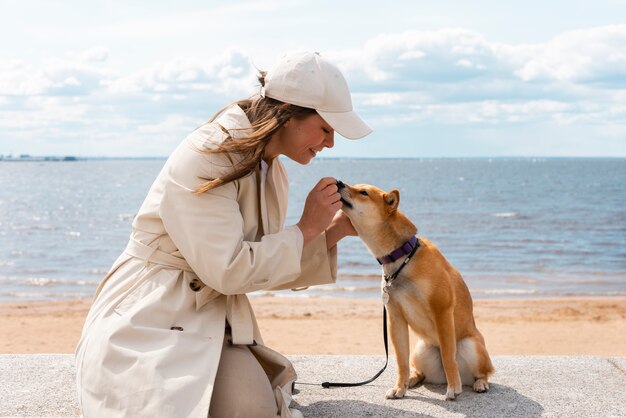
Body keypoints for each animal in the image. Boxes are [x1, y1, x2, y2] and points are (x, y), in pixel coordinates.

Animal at [336, 181, 492, 400]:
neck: (402, 257)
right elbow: (401, 360)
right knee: (420, 371)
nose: (338, 182)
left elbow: (448, 356)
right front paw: (399, 387)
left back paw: (479, 383)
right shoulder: (395, 318)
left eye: (363, 192)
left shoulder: (442, 311)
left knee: (484, 371)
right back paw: (412, 380)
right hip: (421, 350)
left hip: (471, 346)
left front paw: (454, 388)